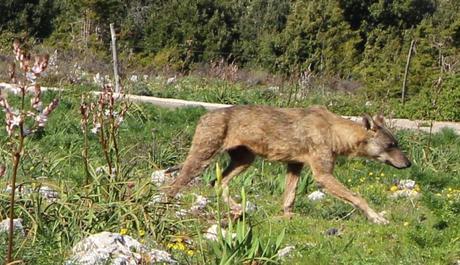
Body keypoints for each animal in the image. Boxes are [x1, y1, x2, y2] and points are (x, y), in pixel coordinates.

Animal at [164, 104, 410, 223]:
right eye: (391, 145)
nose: (408, 164)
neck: (334, 133)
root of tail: (202, 117)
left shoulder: (294, 166)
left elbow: (289, 199)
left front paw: (287, 218)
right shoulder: (322, 175)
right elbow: (359, 198)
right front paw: (377, 218)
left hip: (244, 161)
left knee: (217, 183)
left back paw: (237, 209)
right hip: (202, 160)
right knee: (174, 185)